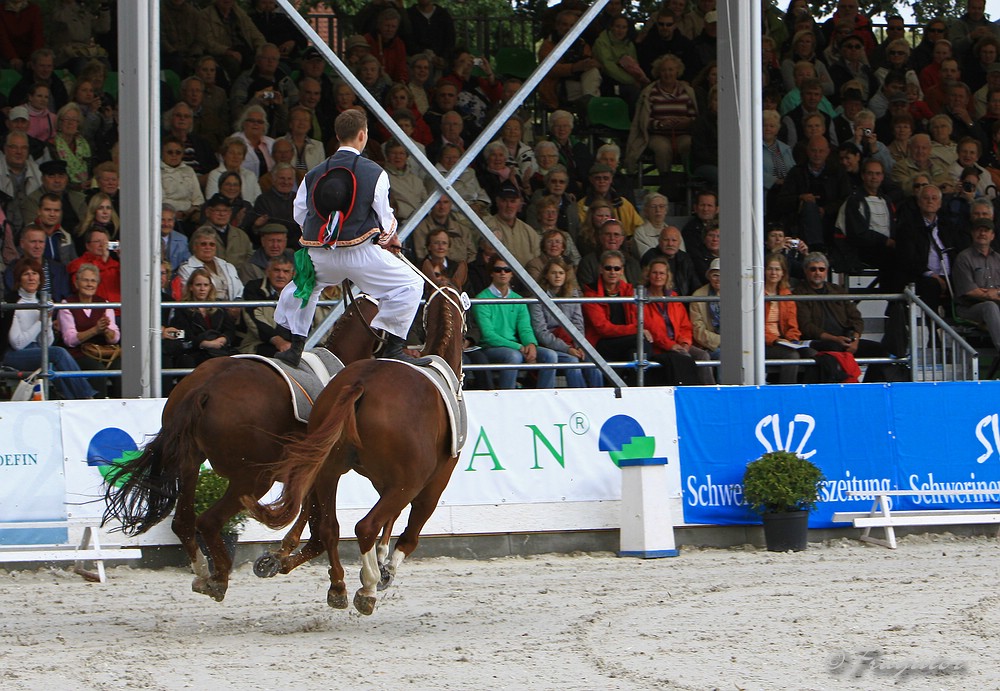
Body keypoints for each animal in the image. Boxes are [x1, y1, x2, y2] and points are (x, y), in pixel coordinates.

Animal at [103, 298, 378, 600]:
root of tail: (205, 387)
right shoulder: (321, 475)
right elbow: (321, 530)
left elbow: (312, 525)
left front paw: (277, 559)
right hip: (253, 480)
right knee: (209, 521)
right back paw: (218, 578)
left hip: (190, 465)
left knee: (184, 522)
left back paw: (204, 573)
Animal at [250, 286, 468, 616]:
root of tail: (360, 385)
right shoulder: (430, 484)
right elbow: (409, 534)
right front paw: (386, 569)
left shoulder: (382, 482)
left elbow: (384, 520)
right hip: (407, 482)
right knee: (365, 526)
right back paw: (367, 588)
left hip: (328, 472)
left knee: (329, 527)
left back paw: (337, 586)